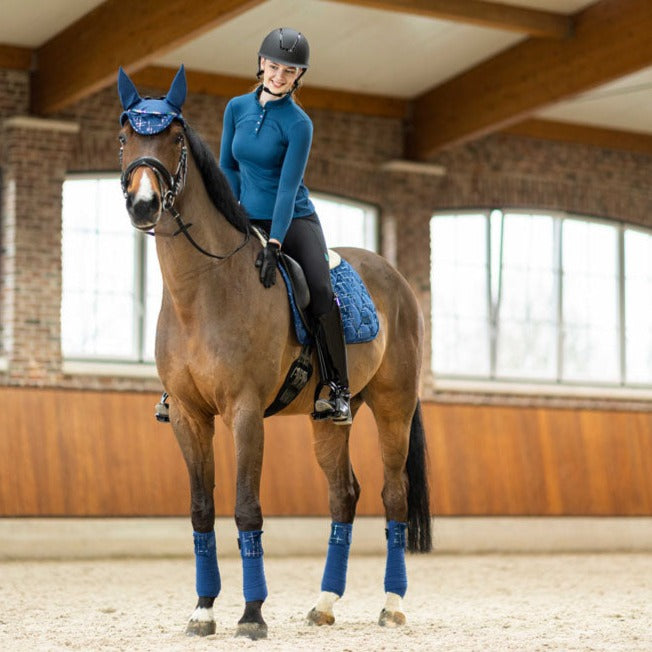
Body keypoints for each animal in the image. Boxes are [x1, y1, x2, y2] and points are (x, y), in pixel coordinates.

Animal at [117, 66, 431, 640]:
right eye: (127, 136)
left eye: (174, 139)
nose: (144, 204)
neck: (204, 287)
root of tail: (393, 274)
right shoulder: (189, 417)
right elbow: (201, 510)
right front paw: (203, 611)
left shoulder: (244, 413)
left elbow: (246, 509)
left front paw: (252, 615)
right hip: (328, 419)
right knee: (344, 495)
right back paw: (324, 604)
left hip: (394, 408)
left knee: (393, 495)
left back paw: (393, 604)